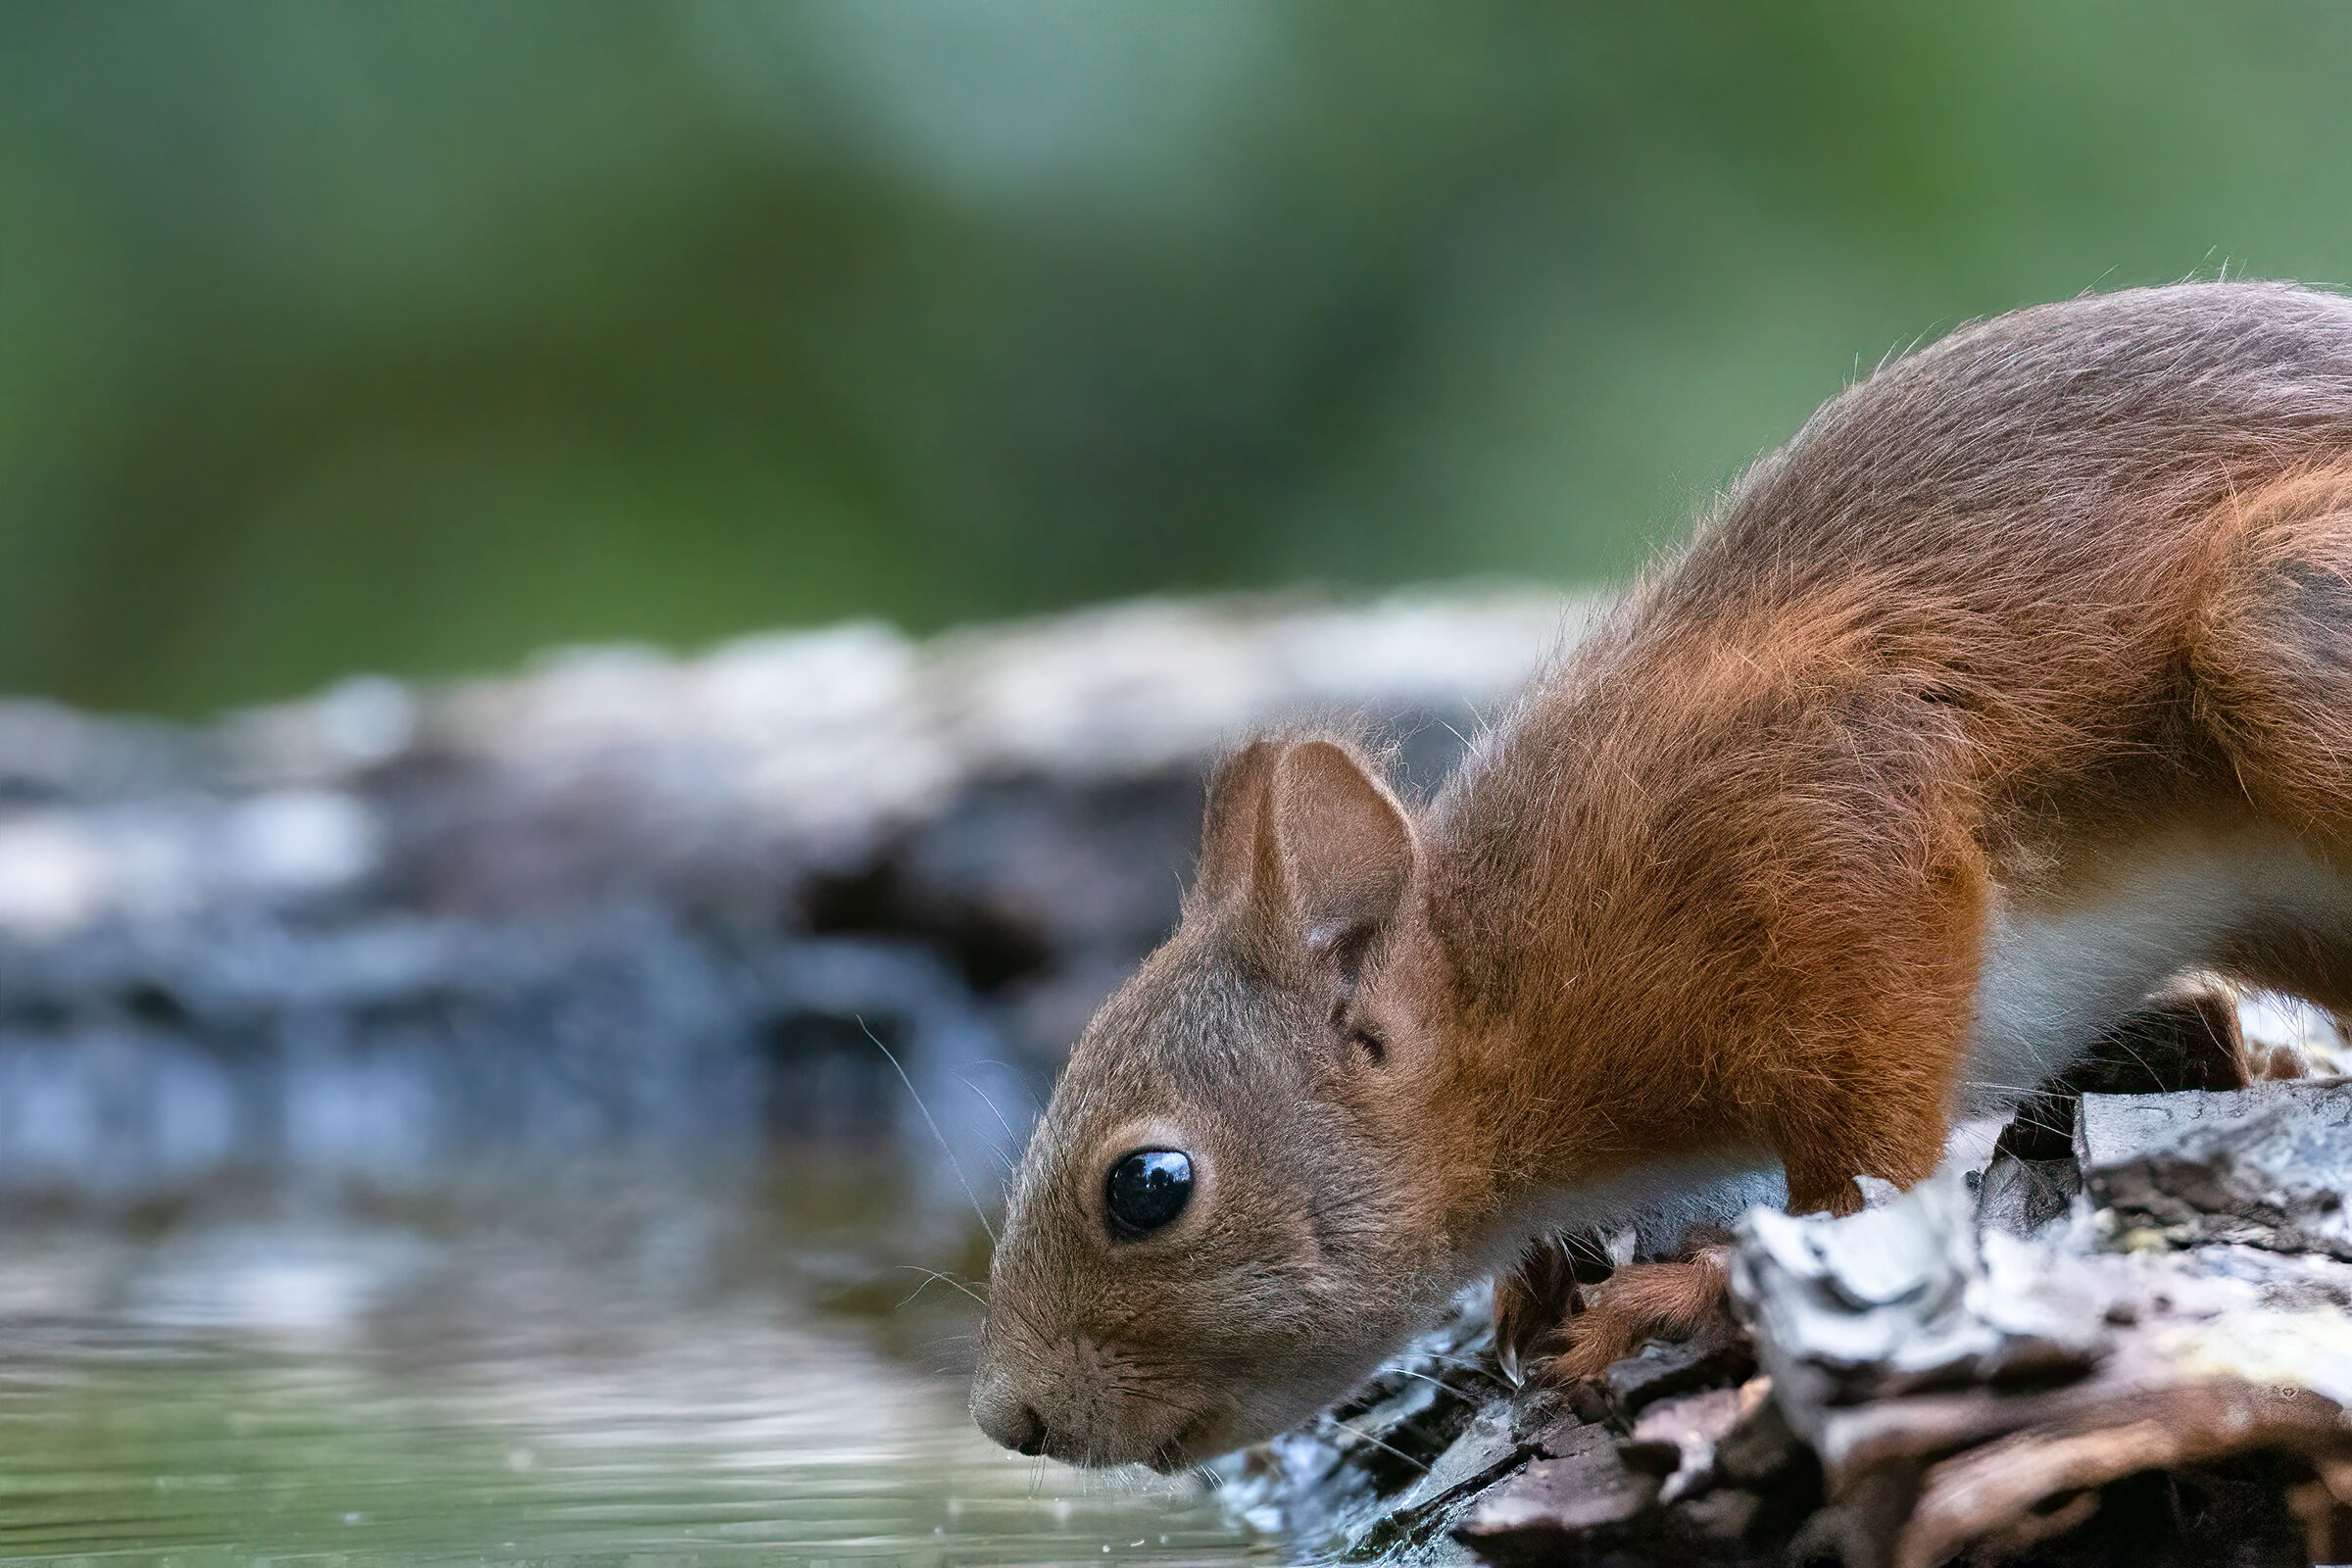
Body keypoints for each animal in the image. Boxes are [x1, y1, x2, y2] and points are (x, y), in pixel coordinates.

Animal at [970, 280, 2352, 1469]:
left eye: (1149, 1187)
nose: (1005, 1418)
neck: (1509, 986)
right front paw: (1535, 1279)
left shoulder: (1822, 821)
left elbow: (1866, 1164)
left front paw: (1687, 1290)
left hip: (2275, 619)